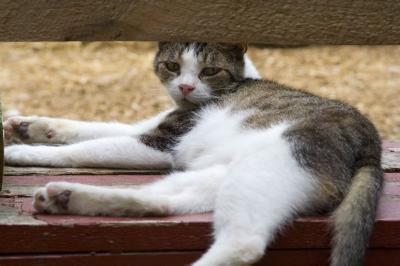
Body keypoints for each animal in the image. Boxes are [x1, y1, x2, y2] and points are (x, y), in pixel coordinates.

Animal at [4, 42, 382, 266]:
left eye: (208, 71)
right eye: (172, 66)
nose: (185, 87)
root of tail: (371, 146)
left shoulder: (160, 143)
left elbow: (85, 148)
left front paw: (23, 151)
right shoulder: (147, 126)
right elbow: (89, 127)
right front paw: (27, 126)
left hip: (270, 164)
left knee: (243, 243)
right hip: (225, 175)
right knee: (165, 203)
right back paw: (66, 197)